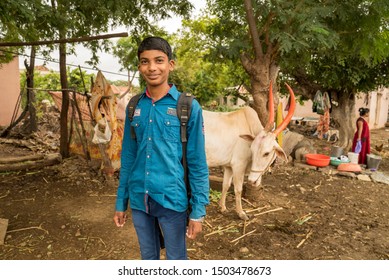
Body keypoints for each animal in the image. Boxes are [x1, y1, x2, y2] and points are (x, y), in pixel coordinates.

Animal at [203, 82, 294, 220]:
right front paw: (241, 213)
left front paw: (222, 207)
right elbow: (238, 189)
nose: (252, 181)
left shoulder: (228, 166)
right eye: (252, 149)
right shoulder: (238, 165)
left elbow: (226, 185)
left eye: (266, 153)